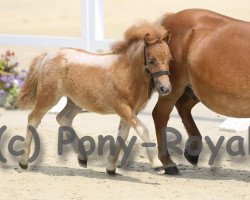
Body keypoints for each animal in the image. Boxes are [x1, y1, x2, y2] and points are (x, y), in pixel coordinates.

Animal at [16, 21, 173, 174]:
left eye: (170, 60)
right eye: (151, 60)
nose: (165, 88)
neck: (127, 73)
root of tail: (48, 55)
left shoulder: (132, 111)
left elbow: (123, 134)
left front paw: (110, 168)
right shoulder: (122, 108)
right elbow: (142, 129)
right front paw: (158, 165)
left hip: (75, 102)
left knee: (63, 118)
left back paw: (82, 157)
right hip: (48, 97)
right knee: (33, 119)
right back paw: (23, 162)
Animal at [153, 8, 250, 174]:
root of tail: (172, 17)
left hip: (195, 90)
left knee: (183, 107)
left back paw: (193, 150)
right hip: (173, 87)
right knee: (160, 115)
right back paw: (168, 163)